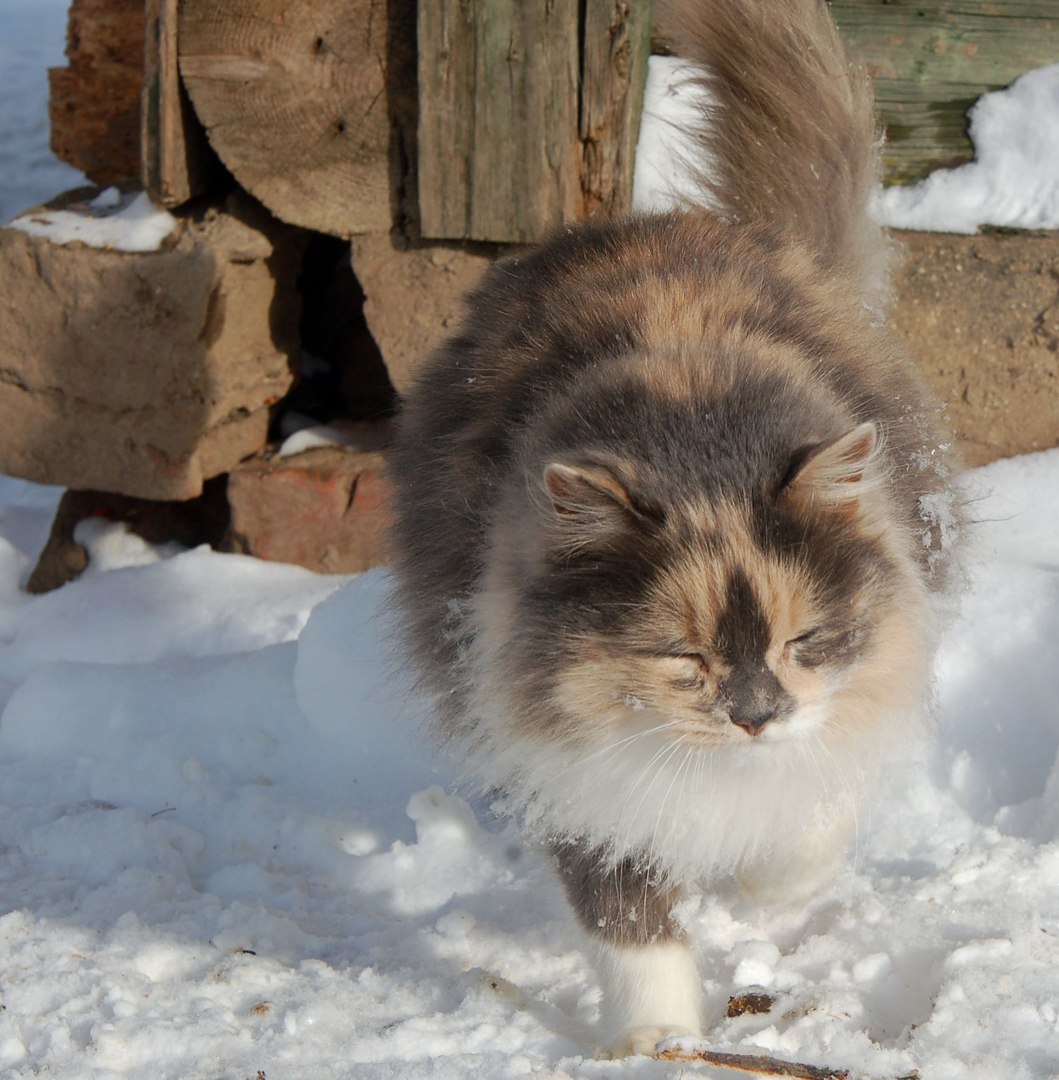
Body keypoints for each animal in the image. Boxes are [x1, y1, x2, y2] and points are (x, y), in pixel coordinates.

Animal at [386, 0, 949, 1054]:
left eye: (804, 641)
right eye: (681, 659)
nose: (754, 717)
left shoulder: (862, 684)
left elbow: (811, 821)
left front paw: (765, 886)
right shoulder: (572, 774)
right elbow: (628, 927)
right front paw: (657, 1044)